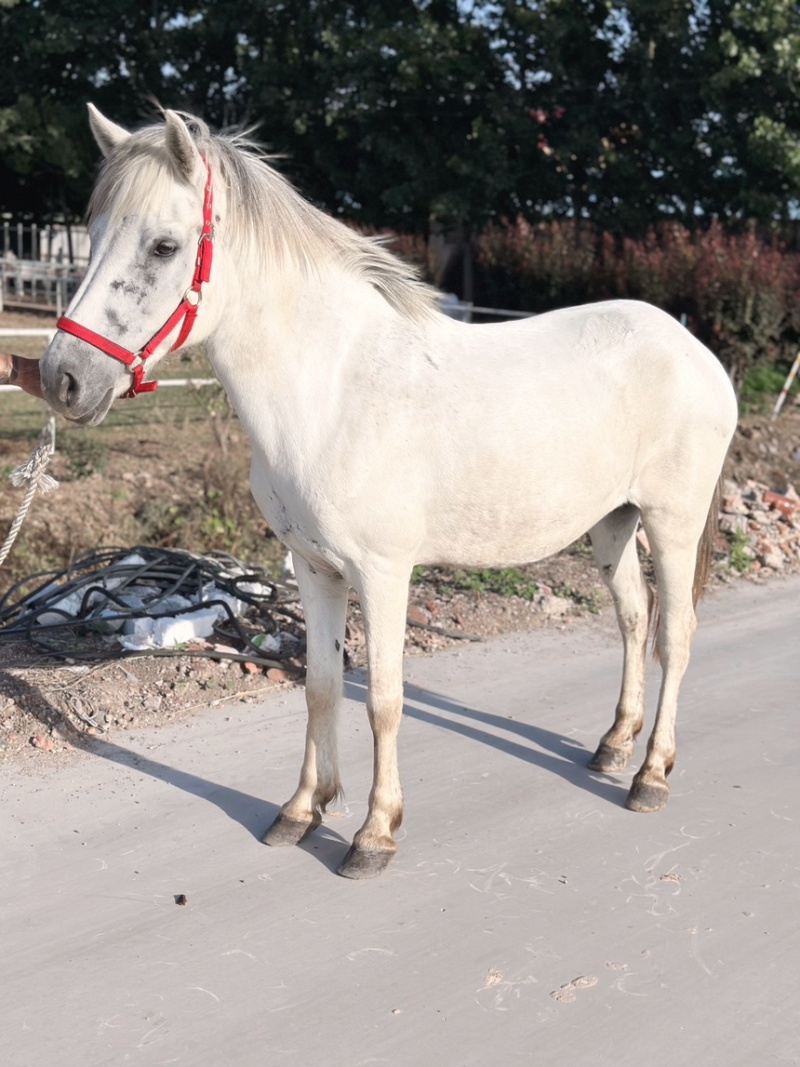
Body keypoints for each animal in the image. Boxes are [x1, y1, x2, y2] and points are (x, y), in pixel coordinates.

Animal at [39, 106, 738, 879]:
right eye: (93, 233)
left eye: (163, 246)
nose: (62, 378)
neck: (331, 390)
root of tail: (692, 348)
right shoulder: (314, 568)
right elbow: (320, 686)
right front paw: (301, 810)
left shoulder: (382, 574)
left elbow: (383, 699)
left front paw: (374, 833)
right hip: (613, 524)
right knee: (634, 619)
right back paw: (614, 746)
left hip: (672, 522)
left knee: (674, 634)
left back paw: (650, 775)